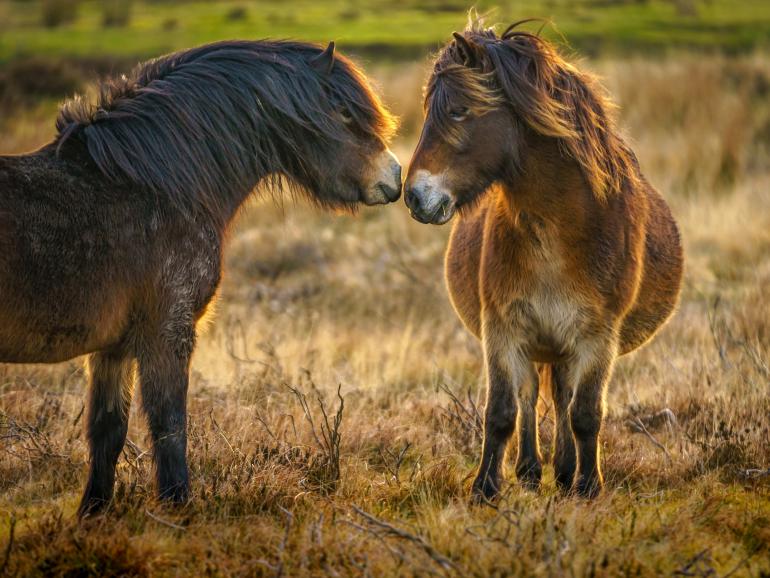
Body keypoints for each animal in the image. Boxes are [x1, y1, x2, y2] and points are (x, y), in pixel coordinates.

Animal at [1, 39, 402, 512]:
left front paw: (92, 514)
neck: (153, 184)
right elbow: (170, 428)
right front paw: (178, 509)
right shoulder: (166, 333)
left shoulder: (112, 348)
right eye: (342, 112)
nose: (395, 175)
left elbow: (107, 433)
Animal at [404, 22, 680, 498]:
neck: (556, 232)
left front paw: (588, 487)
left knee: (565, 399)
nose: (414, 197)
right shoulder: (502, 330)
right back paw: (533, 470)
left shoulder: (597, 338)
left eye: (459, 111)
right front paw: (485, 487)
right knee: (532, 396)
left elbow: (586, 414)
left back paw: (567, 473)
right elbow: (501, 412)